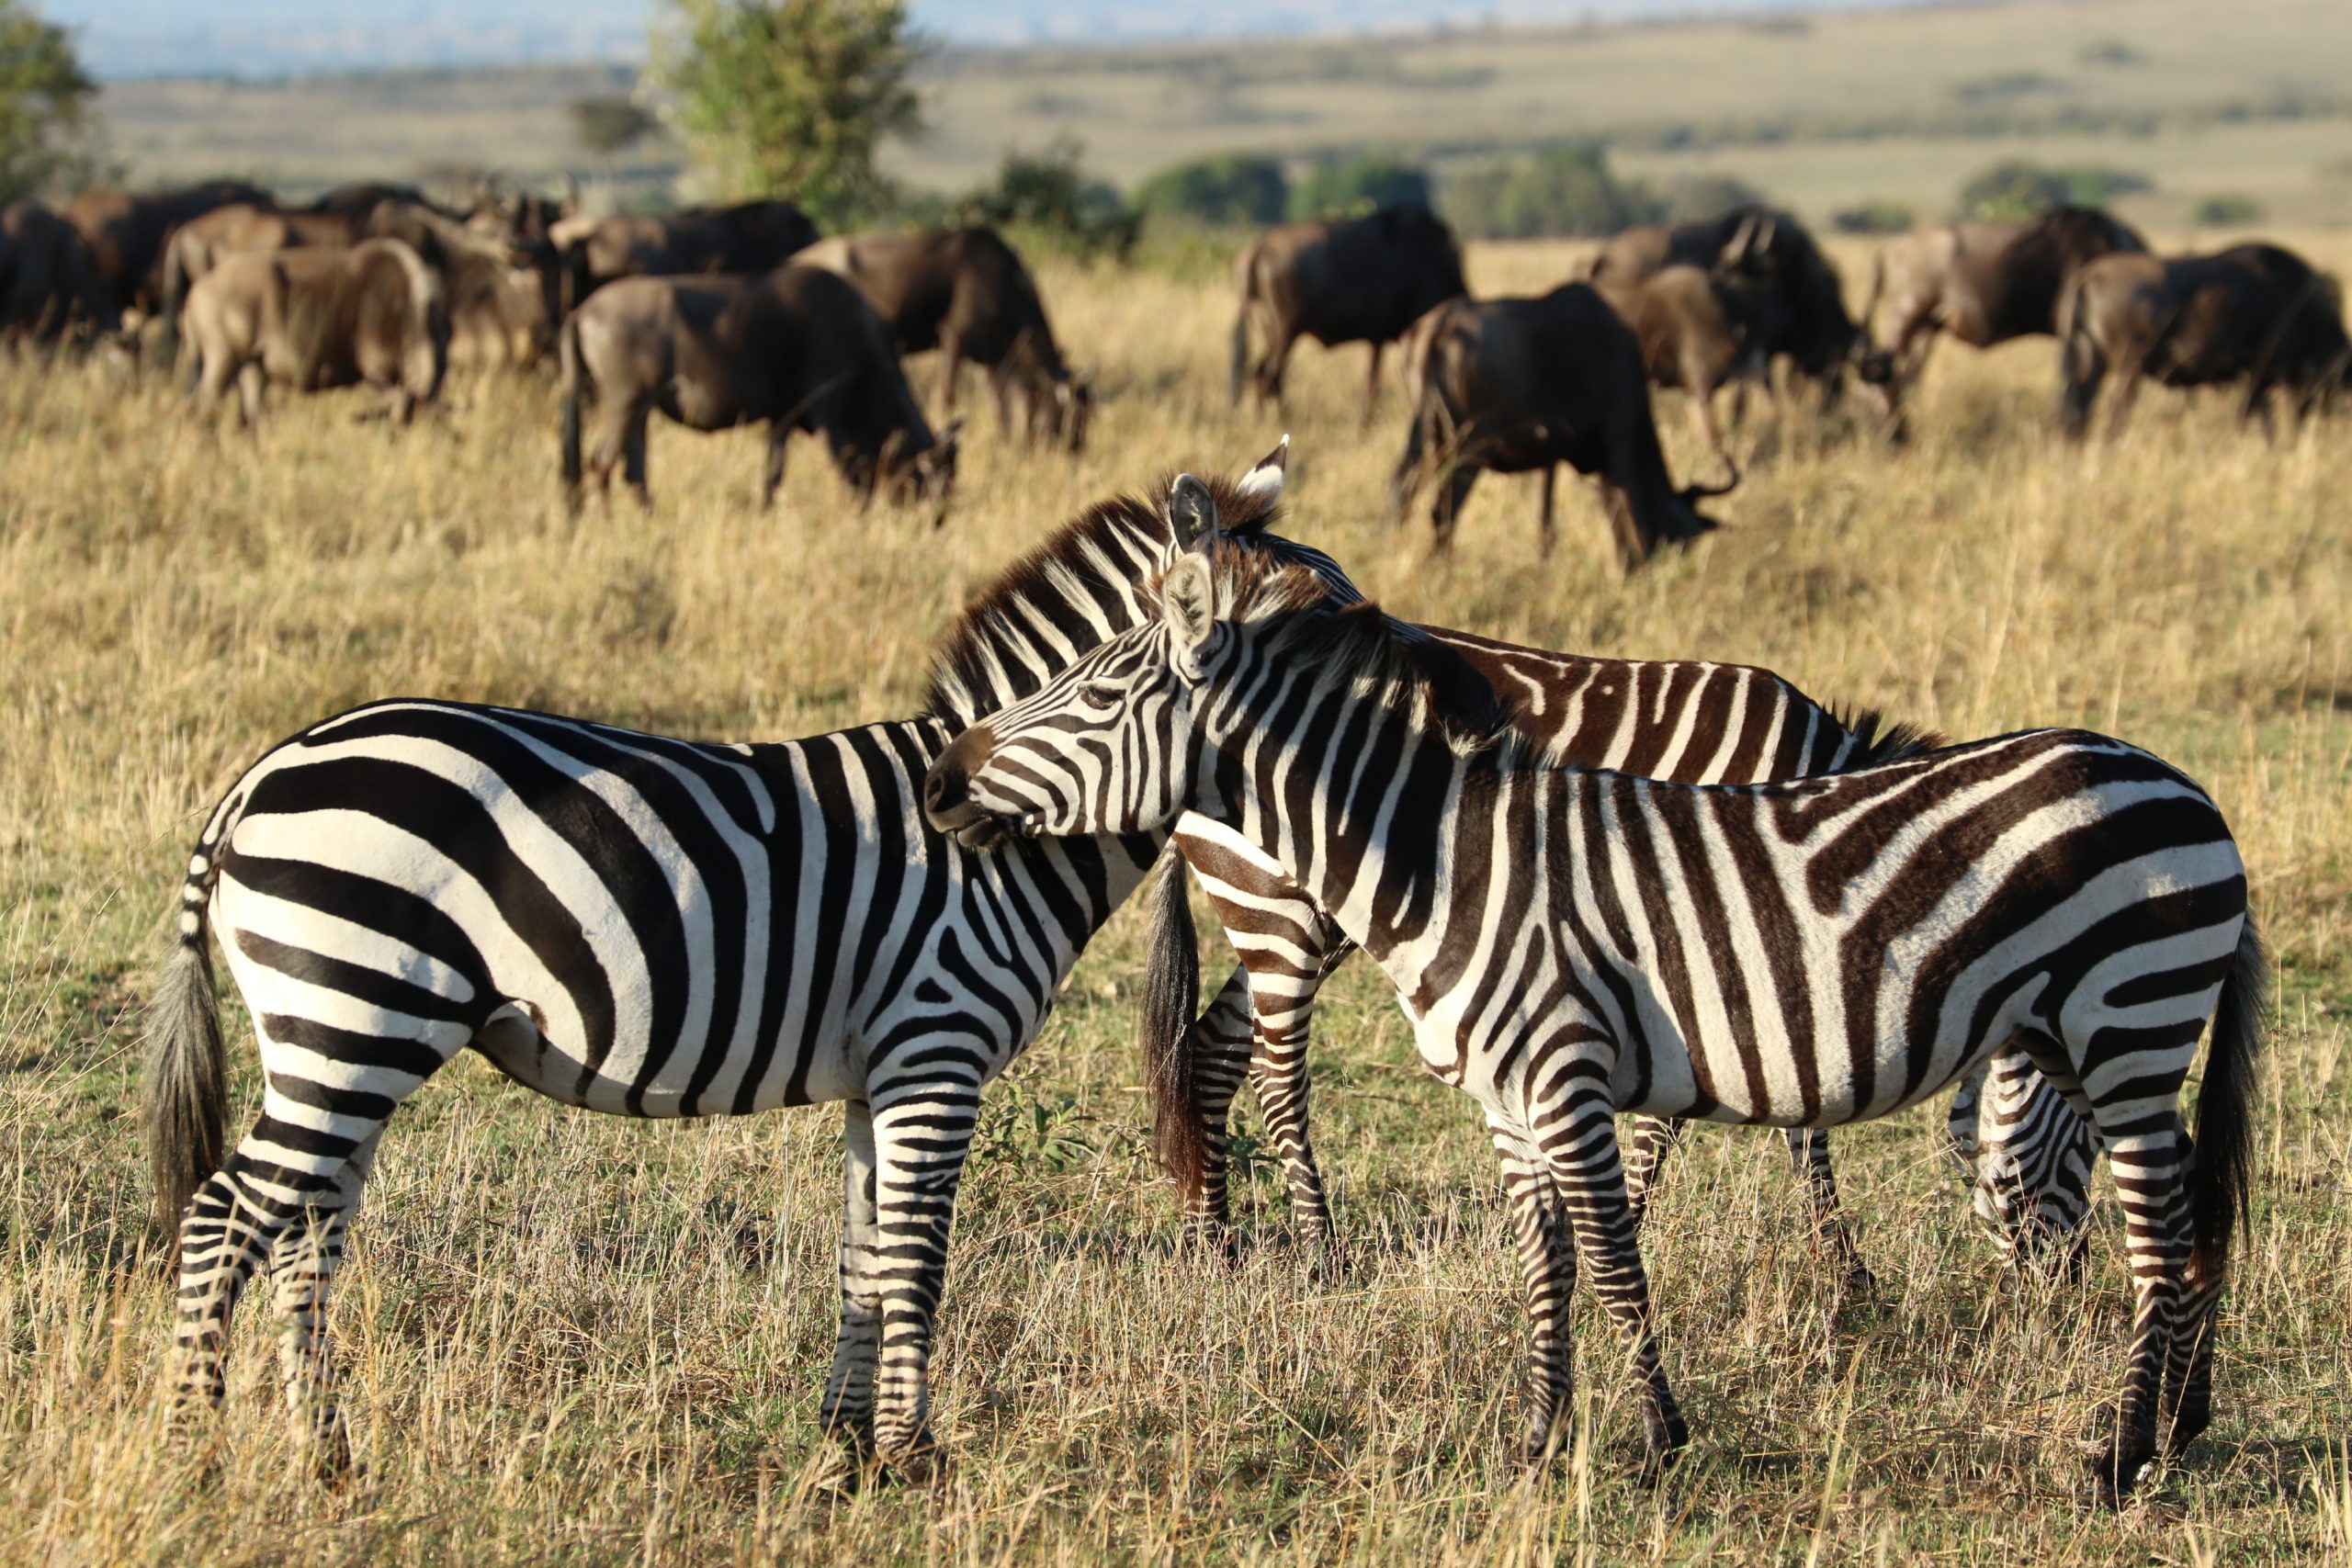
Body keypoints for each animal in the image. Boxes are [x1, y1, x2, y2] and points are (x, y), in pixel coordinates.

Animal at [140, 447, 1312, 1478]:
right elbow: (917, 1258)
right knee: (222, 1217)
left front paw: (847, 1452)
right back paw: (195, 1460)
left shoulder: (880, 1076)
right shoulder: (937, 1052)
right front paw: (914, 1456)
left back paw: (325, 1458)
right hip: (352, 1020)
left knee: (303, 1231)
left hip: (344, 1044)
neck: (1006, 829)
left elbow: (863, 1259)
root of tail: (260, 775)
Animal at [1148, 626, 2100, 1280]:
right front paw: (1839, 1271)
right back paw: (1321, 1251)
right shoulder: (1721, 943)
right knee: (1276, 1071)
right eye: (2086, 1114)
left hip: (1294, 915)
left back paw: (1211, 1241)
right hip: (1281, 907)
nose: (2066, 1277)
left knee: (1212, 1045)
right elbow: (1743, 1116)